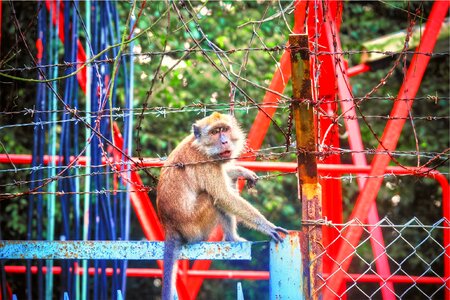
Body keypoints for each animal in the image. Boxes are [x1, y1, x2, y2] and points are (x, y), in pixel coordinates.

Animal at [156, 112, 286, 300]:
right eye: (215, 132)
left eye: (224, 129)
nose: (224, 141)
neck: (201, 146)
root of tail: (169, 226)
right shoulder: (205, 163)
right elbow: (223, 196)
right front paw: (268, 226)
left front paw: (241, 170)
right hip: (194, 228)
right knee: (213, 198)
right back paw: (232, 238)